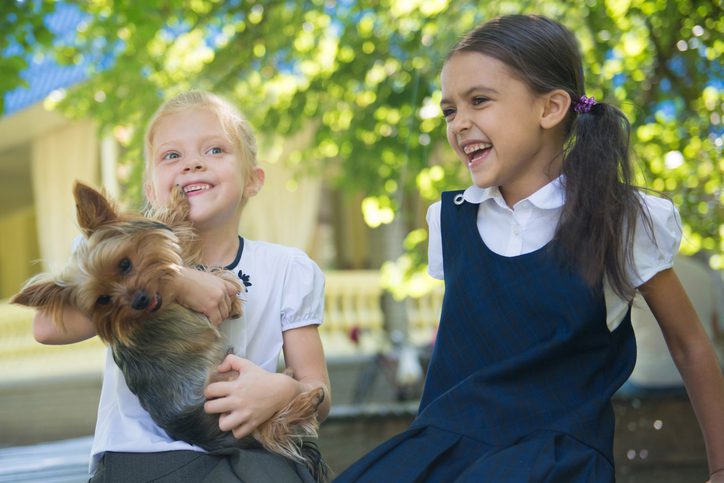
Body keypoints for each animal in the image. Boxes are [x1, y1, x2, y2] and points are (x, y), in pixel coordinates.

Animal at [12, 182, 326, 480]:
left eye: (124, 264)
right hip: (235, 390)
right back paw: (307, 400)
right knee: (274, 429)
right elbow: (176, 232)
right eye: (103, 299)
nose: (140, 300)